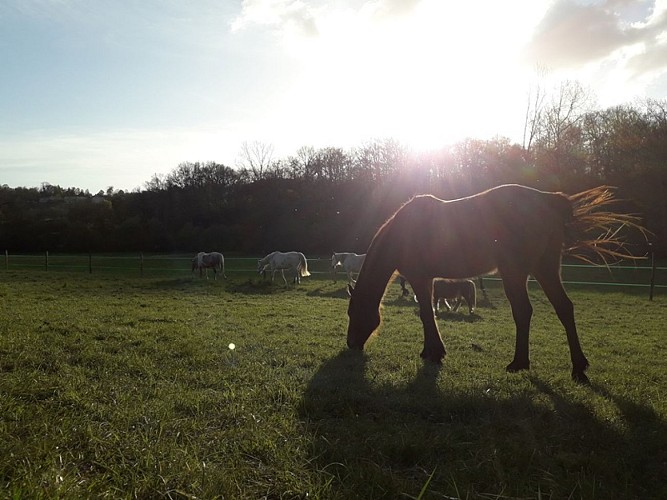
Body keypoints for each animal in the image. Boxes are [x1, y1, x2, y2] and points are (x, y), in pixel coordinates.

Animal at [346, 184, 646, 384]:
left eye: (352, 313)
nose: (350, 345)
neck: (402, 232)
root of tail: (548, 201)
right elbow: (428, 313)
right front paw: (429, 350)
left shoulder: (421, 279)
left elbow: (426, 314)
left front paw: (434, 352)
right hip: (545, 269)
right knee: (564, 308)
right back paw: (578, 367)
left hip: (516, 272)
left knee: (523, 311)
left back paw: (519, 363)